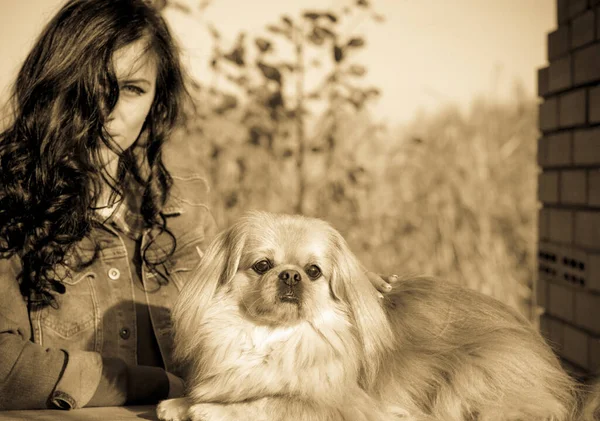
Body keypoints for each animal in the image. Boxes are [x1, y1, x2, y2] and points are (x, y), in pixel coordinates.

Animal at [157, 213, 580, 420]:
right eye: (262, 266)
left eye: (313, 271)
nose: (290, 275)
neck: (276, 337)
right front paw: (178, 404)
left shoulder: (343, 406)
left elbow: (275, 402)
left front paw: (206, 409)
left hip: (467, 377)